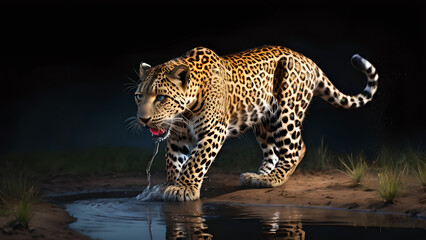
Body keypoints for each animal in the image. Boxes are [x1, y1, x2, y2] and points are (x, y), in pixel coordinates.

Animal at [132, 45, 376, 201]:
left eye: (161, 98)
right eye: (139, 97)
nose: (143, 119)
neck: (185, 111)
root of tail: (310, 61)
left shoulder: (213, 132)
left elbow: (195, 161)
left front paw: (183, 188)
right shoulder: (177, 137)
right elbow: (173, 161)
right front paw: (171, 184)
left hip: (286, 111)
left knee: (296, 148)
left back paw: (274, 178)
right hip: (264, 120)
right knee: (273, 152)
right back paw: (259, 176)